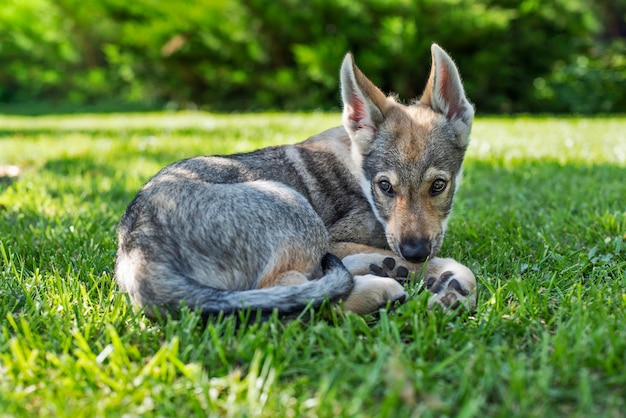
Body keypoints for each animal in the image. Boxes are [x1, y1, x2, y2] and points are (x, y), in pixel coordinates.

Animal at [114, 44, 476, 318]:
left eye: (438, 185)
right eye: (385, 187)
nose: (416, 251)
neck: (356, 168)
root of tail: (141, 249)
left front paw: (447, 288)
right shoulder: (339, 234)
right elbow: (461, 268)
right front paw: (450, 284)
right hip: (294, 205)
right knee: (291, 296)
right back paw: (380, 287)